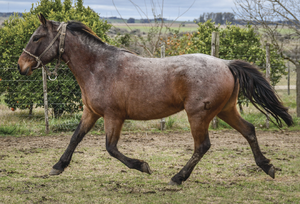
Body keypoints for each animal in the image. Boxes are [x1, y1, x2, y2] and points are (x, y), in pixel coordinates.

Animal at [17, 13, 292, 186]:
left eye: (37, 37)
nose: (21, 66)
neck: (99, 67)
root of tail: (226, 64)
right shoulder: (91, 113)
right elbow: (75, 137)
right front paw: (57, 166)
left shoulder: (113, 116)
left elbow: (111, 148)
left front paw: (143, 166)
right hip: (226, 110)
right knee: (249, 131)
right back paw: (267, 167)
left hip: (199, 115)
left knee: (202, 146)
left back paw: (177, 178)